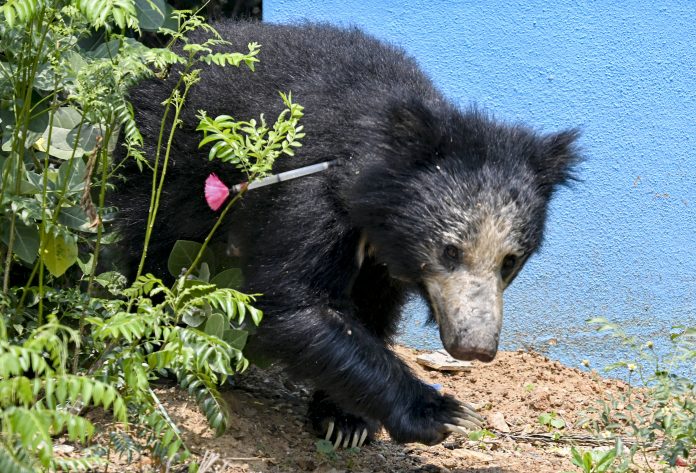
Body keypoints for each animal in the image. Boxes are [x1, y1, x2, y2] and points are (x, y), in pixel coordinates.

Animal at [113, 21, 581, 447]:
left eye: (510, 262)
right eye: (450, 251)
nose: (474, 348)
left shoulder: (384, 256)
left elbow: (370, 311)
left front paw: (345, 420)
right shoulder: (310, 192)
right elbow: (300, 304)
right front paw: (445, 414)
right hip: (166, 159)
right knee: (153, 243)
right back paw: (160, 348)